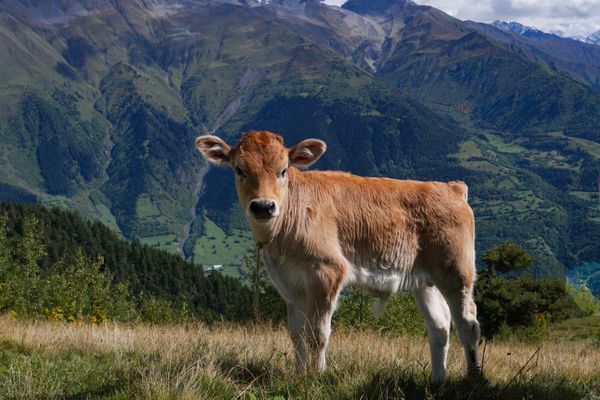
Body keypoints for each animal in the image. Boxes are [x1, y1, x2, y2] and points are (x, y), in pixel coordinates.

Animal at [197, 130, 482, 382]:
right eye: (239, 170)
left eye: (283, 170)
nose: (263, 206)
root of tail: (451, 187)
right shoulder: (290, 285)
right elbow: (296, 334)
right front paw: (298, 375)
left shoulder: (327, 272)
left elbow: (318, 333)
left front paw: (317, 376)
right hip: (425, 281)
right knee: (440, 326)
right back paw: (437, 379)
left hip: (457, 271)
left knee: (468, 322)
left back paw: (472, 377)